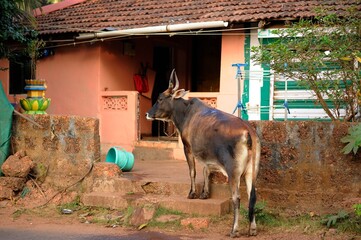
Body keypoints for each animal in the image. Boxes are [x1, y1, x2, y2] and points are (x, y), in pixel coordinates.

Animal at [145, 70, 260, 238]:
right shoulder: (206, 155)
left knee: (237, 198)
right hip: (252, 171)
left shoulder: (187, 147)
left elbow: (192, 171)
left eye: (160, 99)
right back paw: (252, 229)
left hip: (233, 172)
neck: (186, 114)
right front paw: (205, 193)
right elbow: (206, 169)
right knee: (253, 196)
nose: (147, 114)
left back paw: (234, 230)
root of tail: (248, 131)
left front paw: (192, 193)